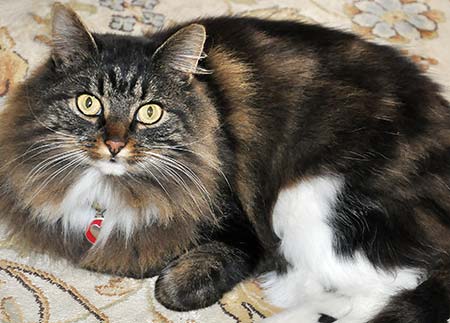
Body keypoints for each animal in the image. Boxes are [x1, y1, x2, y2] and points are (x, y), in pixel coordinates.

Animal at [0, 2, 450, 323]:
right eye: (88, 103)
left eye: (150, 112)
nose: (114, 144)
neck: (108, 190)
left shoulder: (241, 229)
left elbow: (170, 284)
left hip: (311, 201)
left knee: (383, 290)